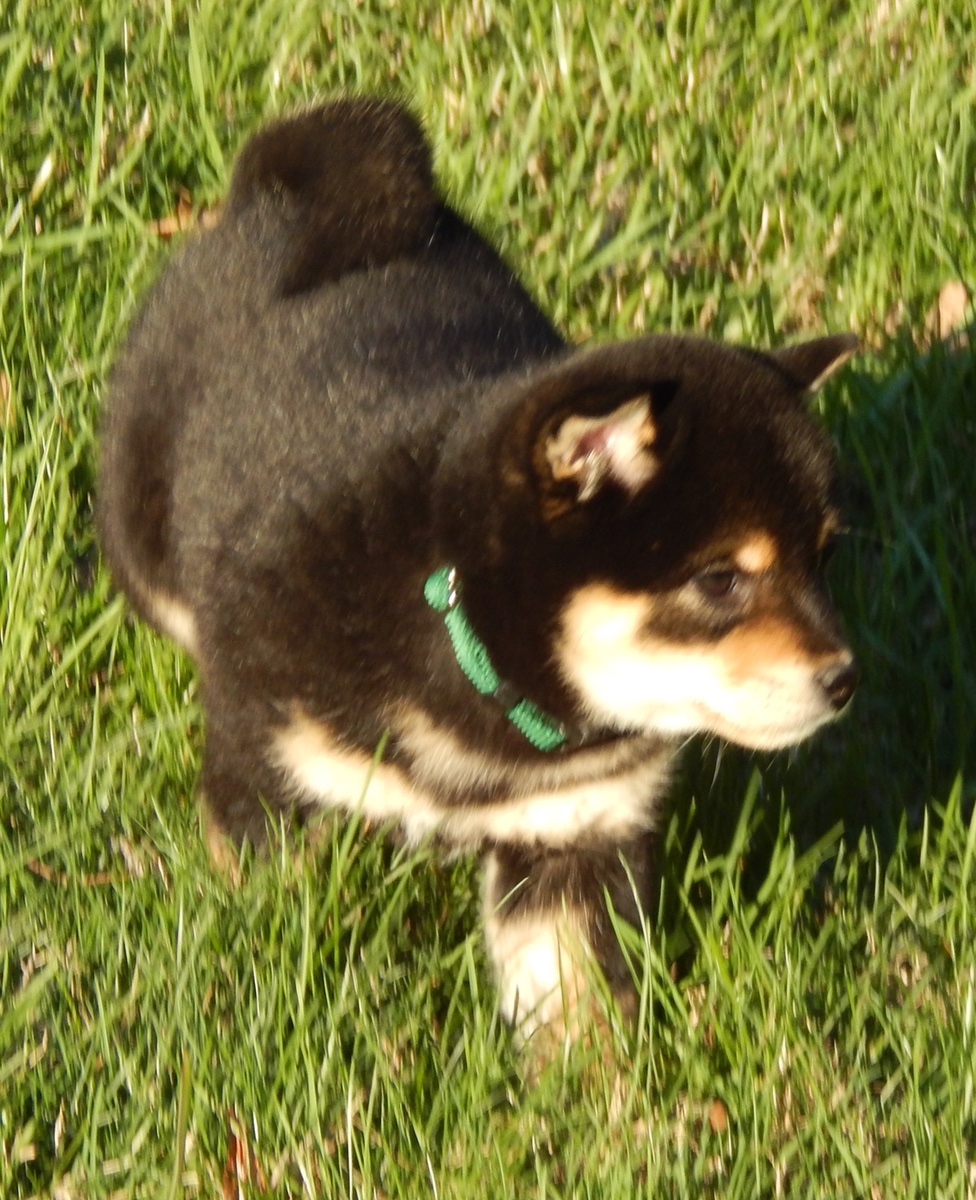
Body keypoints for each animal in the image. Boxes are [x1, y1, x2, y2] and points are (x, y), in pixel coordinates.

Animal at [98, 98, 857, 1045]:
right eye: (721, 581)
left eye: (824, 557)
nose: (843, 678)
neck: (453, 623)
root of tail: (270, 200)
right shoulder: (267, 764)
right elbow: (266, 908)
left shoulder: (574, 836)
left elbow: (577, 1011)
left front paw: (596, 1088)